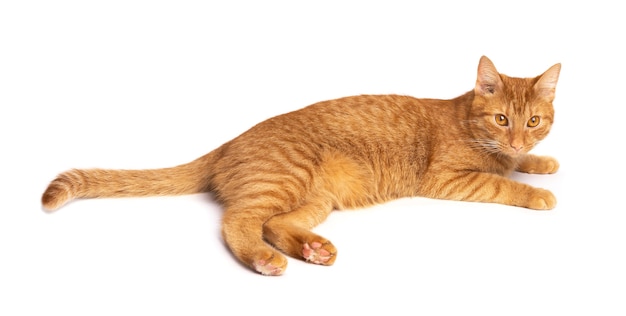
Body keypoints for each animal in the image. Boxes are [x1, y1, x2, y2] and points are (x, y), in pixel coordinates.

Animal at [42, 56, 560, 276]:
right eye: (501, 119)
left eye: (532, 121)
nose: (517, 137)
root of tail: (228, 142)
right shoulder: (448, 179)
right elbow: (502, 184)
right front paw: (536, 189)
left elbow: (519, 166)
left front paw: (541, 159)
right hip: (284, 179)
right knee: (239, 222)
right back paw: (265, 259)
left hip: (315, 199)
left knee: (274, 224)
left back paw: (313, 249)